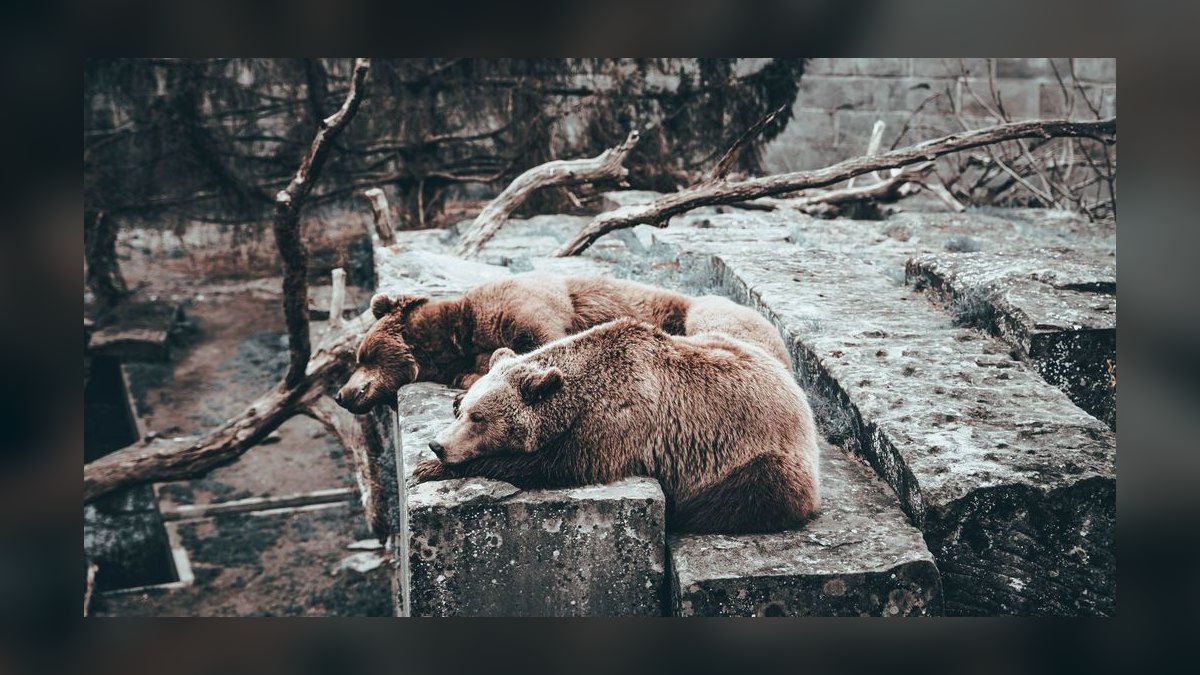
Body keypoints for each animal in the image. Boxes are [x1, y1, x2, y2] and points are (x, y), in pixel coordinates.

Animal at [335, 272, 790, 414]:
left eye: (363, 355)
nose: (341, 395)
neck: (456, 337)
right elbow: (480, 368)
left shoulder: (529, 305)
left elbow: (546, 337)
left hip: (710, 313)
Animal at [416, 317, 820, 534]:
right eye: (464, 411)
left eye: (479, 418)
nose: (439, 445)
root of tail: (798, 393)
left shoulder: (620, 421)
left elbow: (557, 463)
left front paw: (428, 468)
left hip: (761, 455)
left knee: (751, 491)